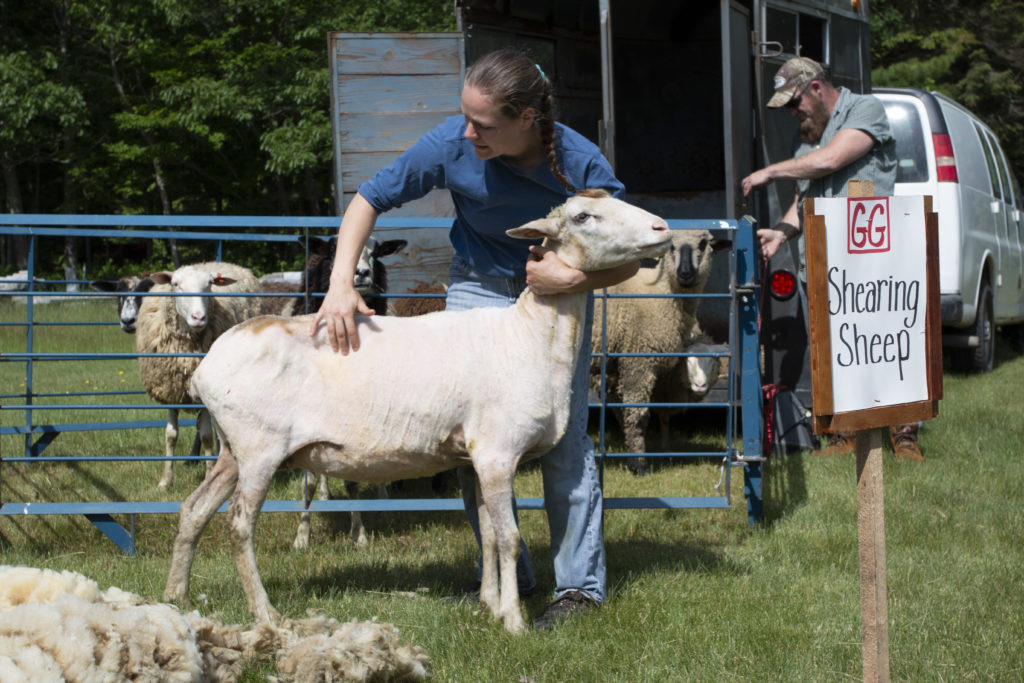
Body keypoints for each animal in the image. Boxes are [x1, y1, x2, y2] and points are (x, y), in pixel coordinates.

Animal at [161, 189, 671, 634]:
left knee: (193, 510)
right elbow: (509, 538)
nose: (663, 228)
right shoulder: (497, 453)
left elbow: (488, 533)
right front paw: (513, 621)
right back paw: (265, 613)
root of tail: (206, 367)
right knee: (238, 526)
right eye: (583, 217)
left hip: (232, 450)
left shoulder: (475, 458)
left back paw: (175, 596)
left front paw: (488, 605)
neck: (529, 334)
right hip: (259, 447)